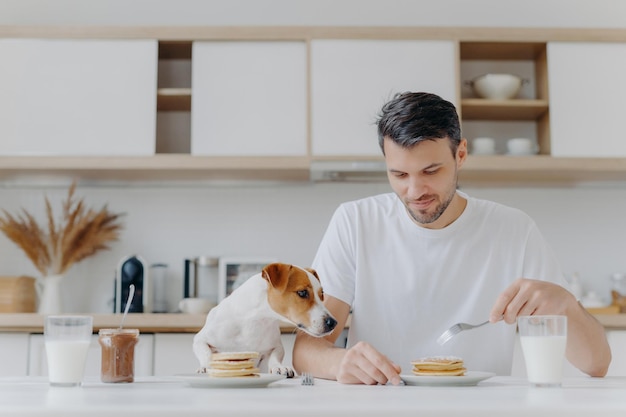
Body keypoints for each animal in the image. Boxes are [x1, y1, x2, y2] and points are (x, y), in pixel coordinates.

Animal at [193, 262, 336, 376]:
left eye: (322, 294)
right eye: (302, 293)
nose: (333, 323)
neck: (256, 320)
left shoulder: (276, 346)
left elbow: (275, 356)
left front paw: (279, 367)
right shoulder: (200, 339)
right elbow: (207, 353)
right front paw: (205, 367)